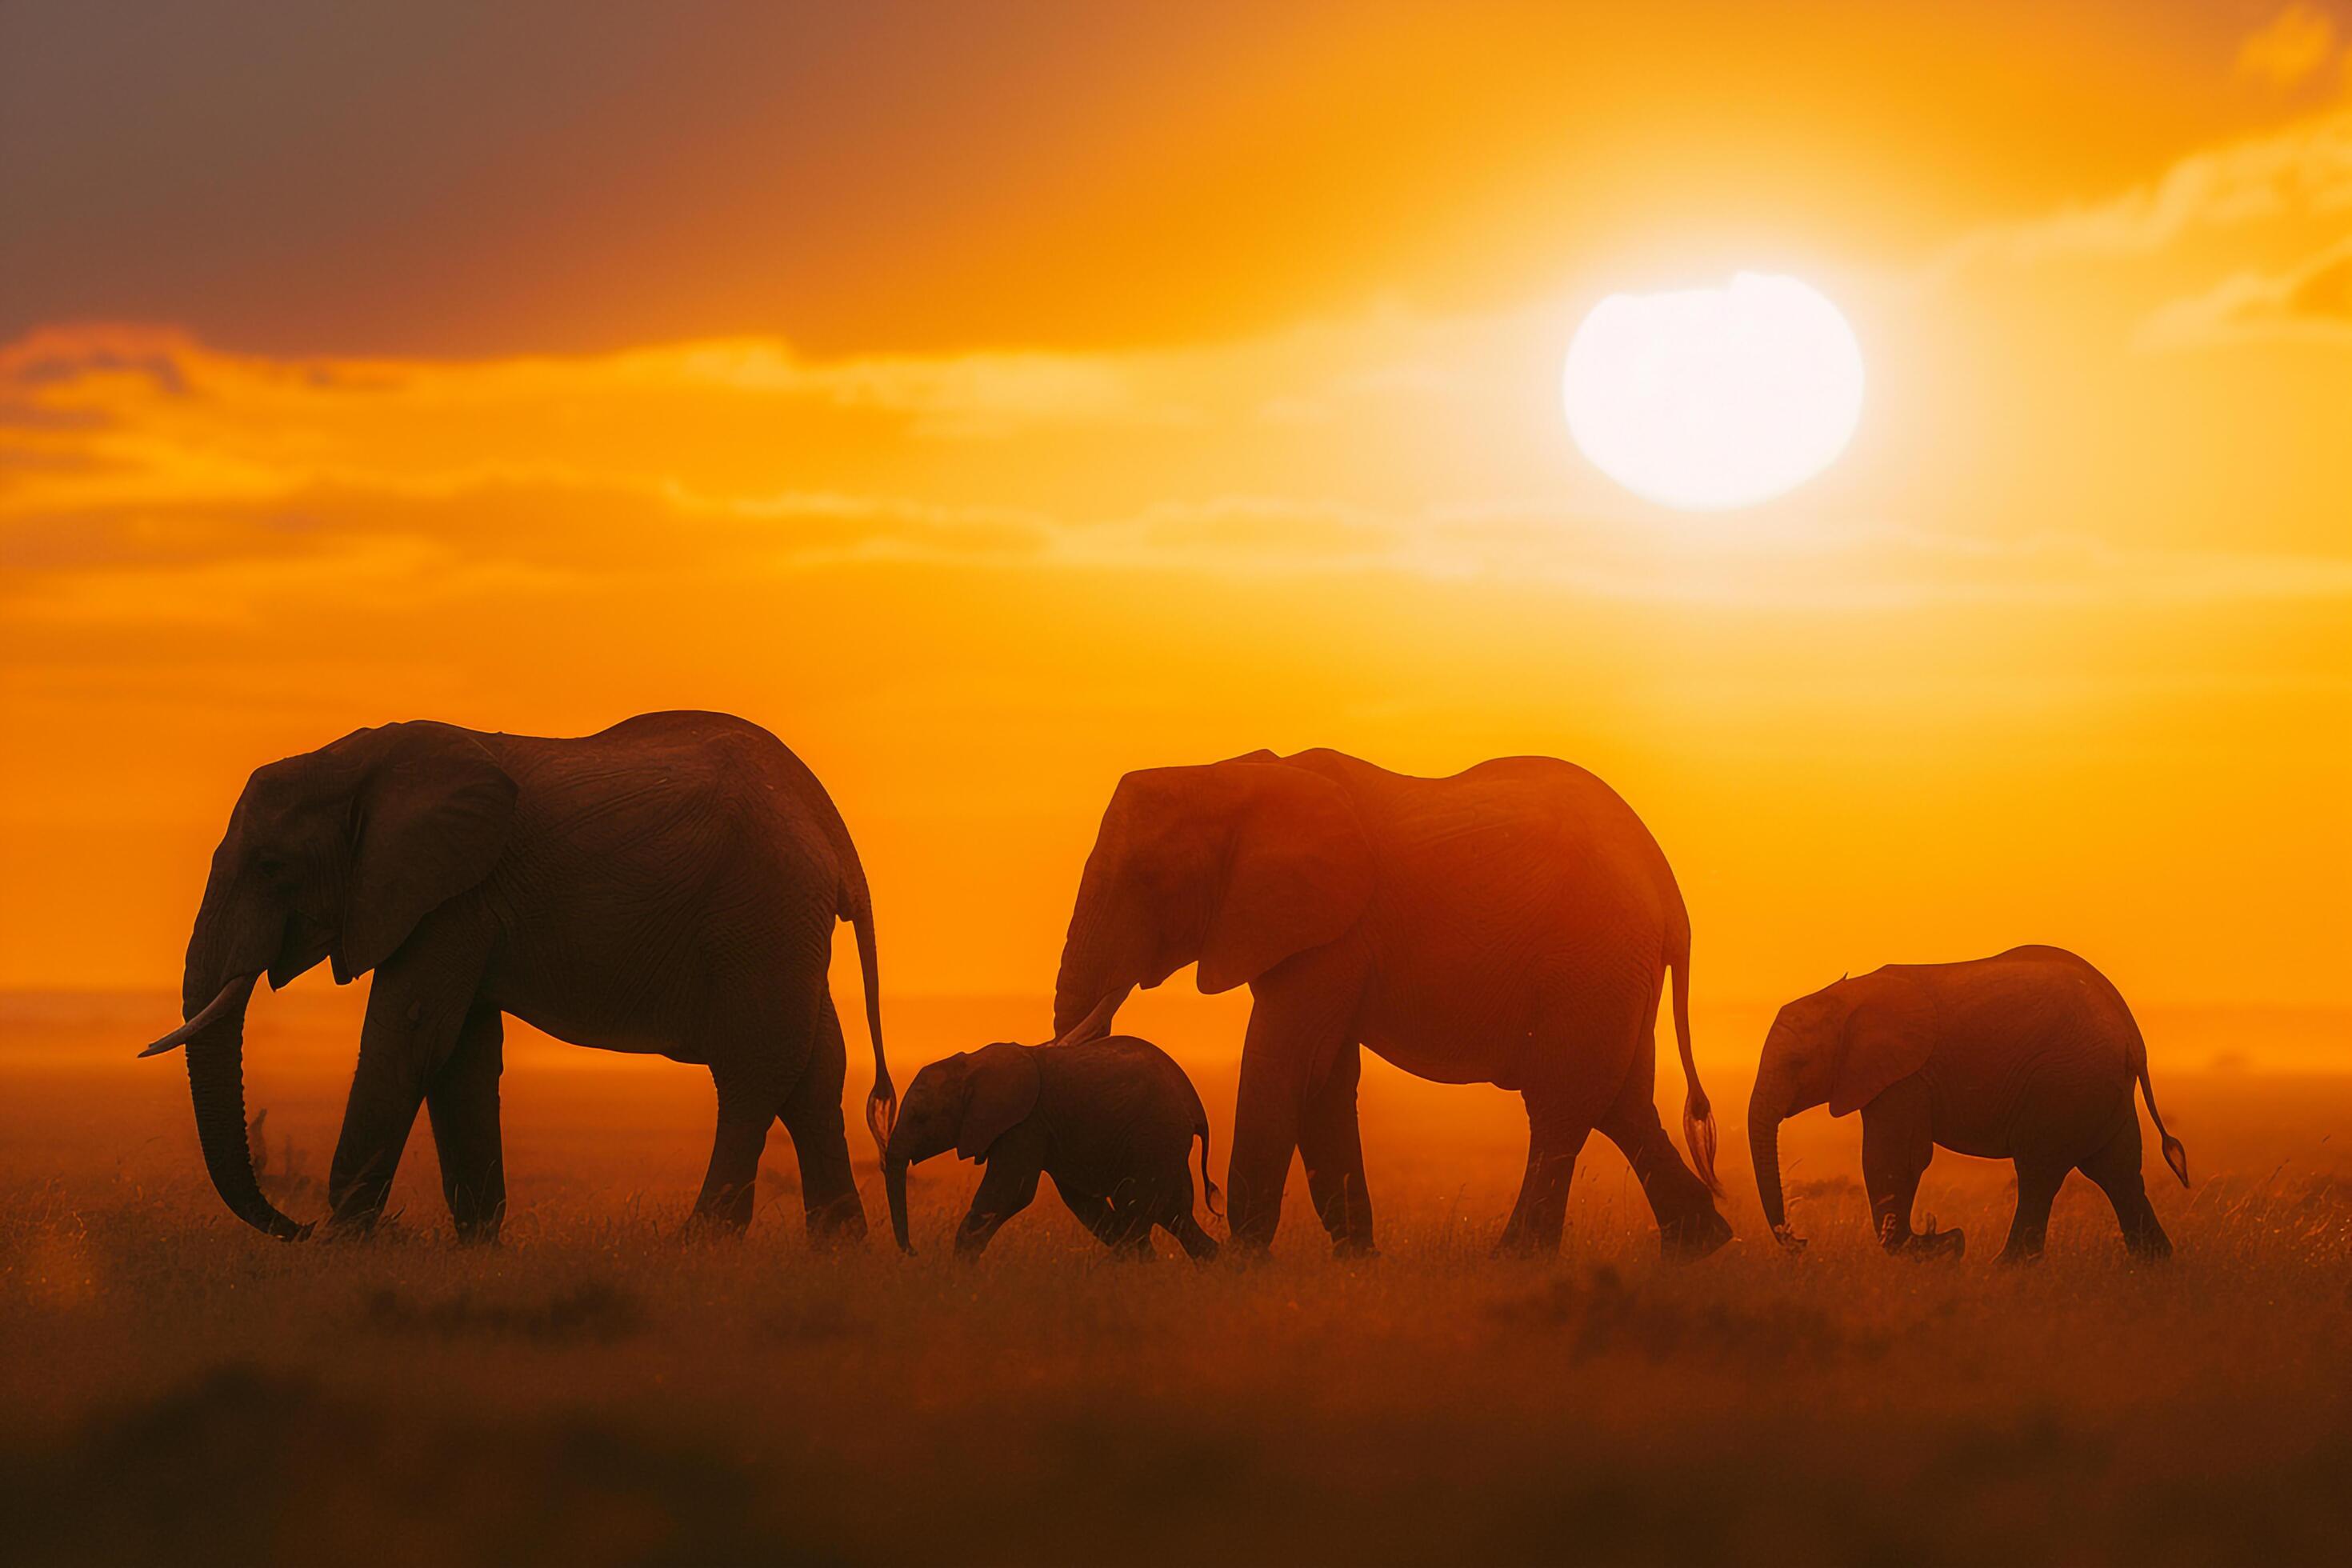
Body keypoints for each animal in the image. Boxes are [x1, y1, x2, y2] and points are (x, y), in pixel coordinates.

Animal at [137, 710, 889, 1241]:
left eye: (272, 868)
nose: (296, 1227)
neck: (353, 762)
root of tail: (828, 825)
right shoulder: (454, 901)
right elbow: (459, 1055)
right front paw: (477, 1245)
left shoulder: (451, 897)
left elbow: (409, 1037)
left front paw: (342, 1246)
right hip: (782, 927)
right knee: (813, 1073)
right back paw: (839, 1249)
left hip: (759, 916)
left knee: (751, 1071)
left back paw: (703, 1243)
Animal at [879, 1043, 1214, 1260]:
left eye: (920, 1118)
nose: (913, 1251)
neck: (972, 1065)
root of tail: (1195, 1109)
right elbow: (1081, 1200)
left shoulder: (1025, 1124)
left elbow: (1011, 1192)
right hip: (1163, 1146)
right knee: (1175, 1215)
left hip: (1154, 1138)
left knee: (1135, 1206)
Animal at [1049, 747, 1730, 1260]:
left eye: (1150, 881)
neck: (1230, 774)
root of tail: (1671, 894)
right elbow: (1324, 1078)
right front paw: (1356, 1261)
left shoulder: (1330, 933)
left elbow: (1285, 1065)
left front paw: (1244, 1264)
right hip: (1614, 972)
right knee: (1622, 1104)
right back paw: (1699, 1248)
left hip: (1591, 961)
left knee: (1562, 1105)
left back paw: (1514, 1260)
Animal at [1750, 945, 2182, 1260]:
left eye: (1797, 1063)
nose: (1801, 1242)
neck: (1844, 997)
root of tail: (2131, 1034)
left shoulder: (1906, 1077)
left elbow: (1894, 1158)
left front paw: (1937, 1249)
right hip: (2099, 1088)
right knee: (2117, 1172)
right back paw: (2153, 1265)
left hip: (2065, 1081)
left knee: (2040, 1172)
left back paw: (2006, 1268)